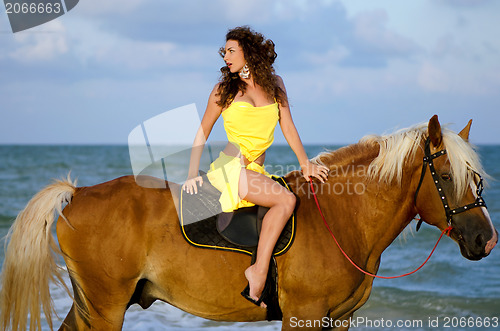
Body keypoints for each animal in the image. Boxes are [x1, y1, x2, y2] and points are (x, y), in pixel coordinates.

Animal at [0, 115, 496, 330]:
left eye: (476, 177)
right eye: (446, 176)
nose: (485, 239)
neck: (340, 219)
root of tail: (79, 192)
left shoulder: (340, 320)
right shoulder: (303, 317)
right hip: (105, 309)